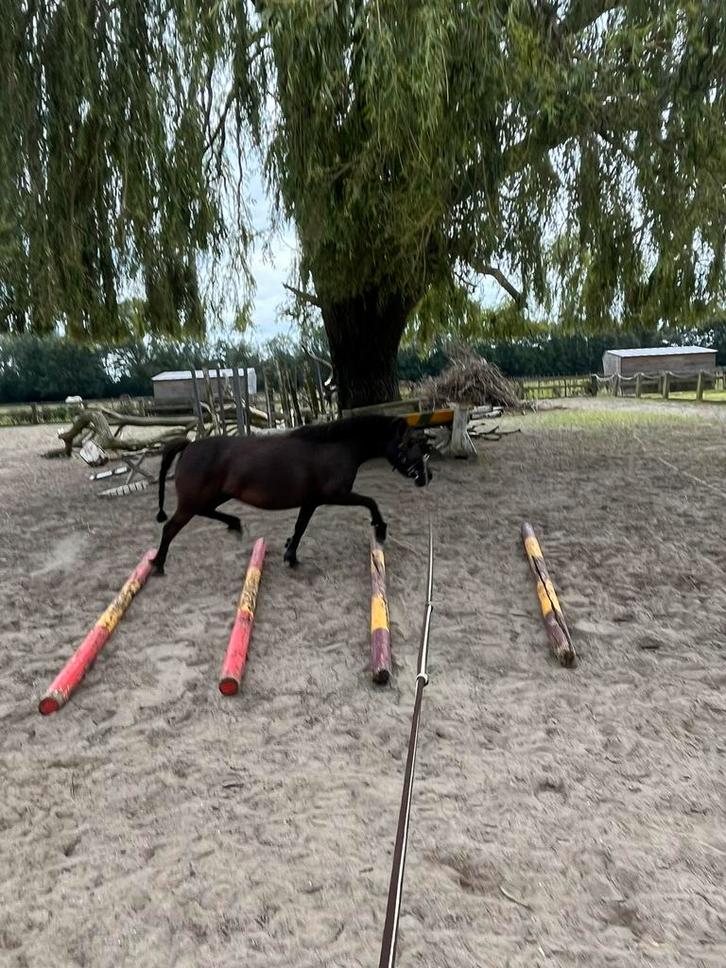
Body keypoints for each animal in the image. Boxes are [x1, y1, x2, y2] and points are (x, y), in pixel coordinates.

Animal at [151, 414, 432, 574]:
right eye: (408, 444)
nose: (426, 476)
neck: (334, 448)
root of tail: (189, 446)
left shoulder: (311, 501)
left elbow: (299, 527)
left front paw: (290, 555)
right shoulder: (334, 495)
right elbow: (370, 502)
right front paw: (380, 528)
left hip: (216, 495)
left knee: (205, 512)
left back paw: (235, 524)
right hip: (193, 501)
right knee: (170, 527)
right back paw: (157, 564)